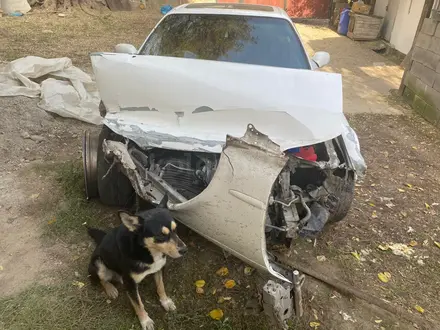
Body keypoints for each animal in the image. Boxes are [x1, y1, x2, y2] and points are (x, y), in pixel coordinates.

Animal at [87, 197, 186, 328]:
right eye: (160, 235)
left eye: (176, 229)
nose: (185, 250)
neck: (146, 250)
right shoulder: (130, 283)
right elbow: (138, 304)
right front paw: (145, 321)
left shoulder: (159, 269)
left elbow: (161, 287)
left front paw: (166, 302)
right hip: (99, 265)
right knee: (102, 280)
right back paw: (111, 289)